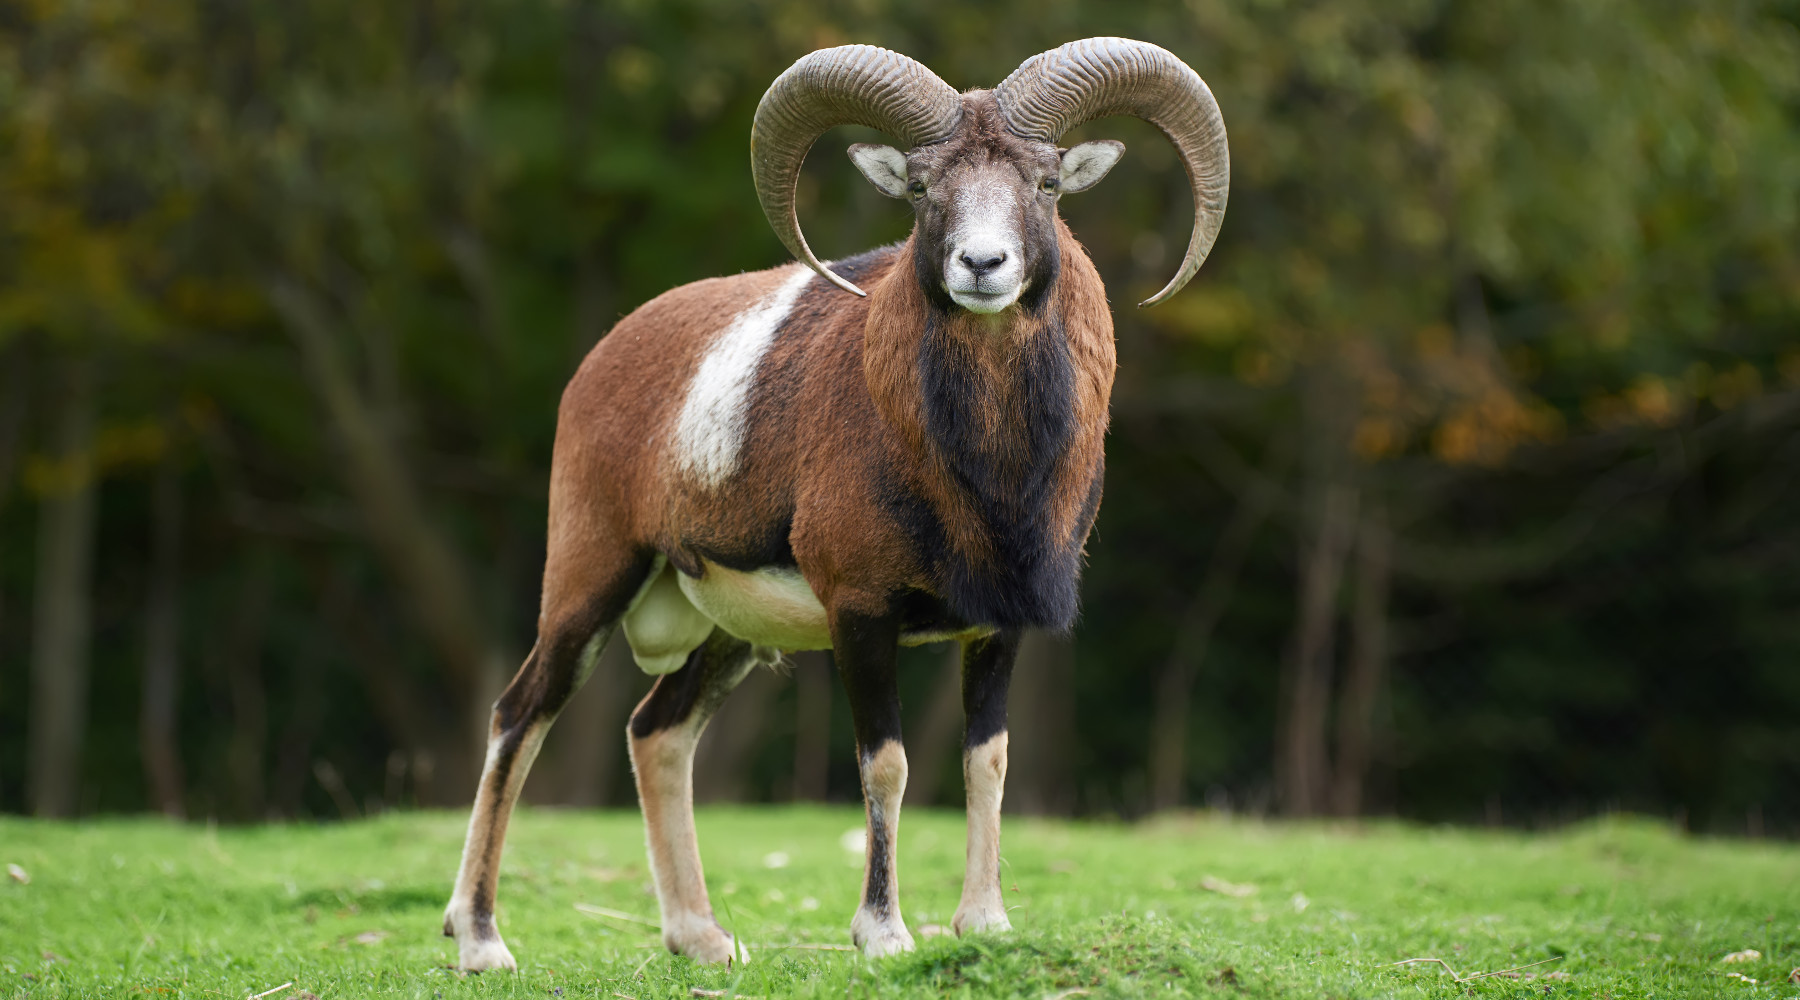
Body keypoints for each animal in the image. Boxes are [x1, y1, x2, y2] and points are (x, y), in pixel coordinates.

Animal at [442, 36, 1230, 969]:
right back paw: (480, 940)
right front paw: (884, 934)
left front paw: (985, 924)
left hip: (724, 636)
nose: (983, 266)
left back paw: (704, 941)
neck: (987, 479)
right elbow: (885, 764)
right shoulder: (861, 614)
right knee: (519, 715)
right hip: (590, 585)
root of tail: (601, 363)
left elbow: (985, 763)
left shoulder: (998, 626)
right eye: (923, 188)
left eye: (1046, 183)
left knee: (656, 733)